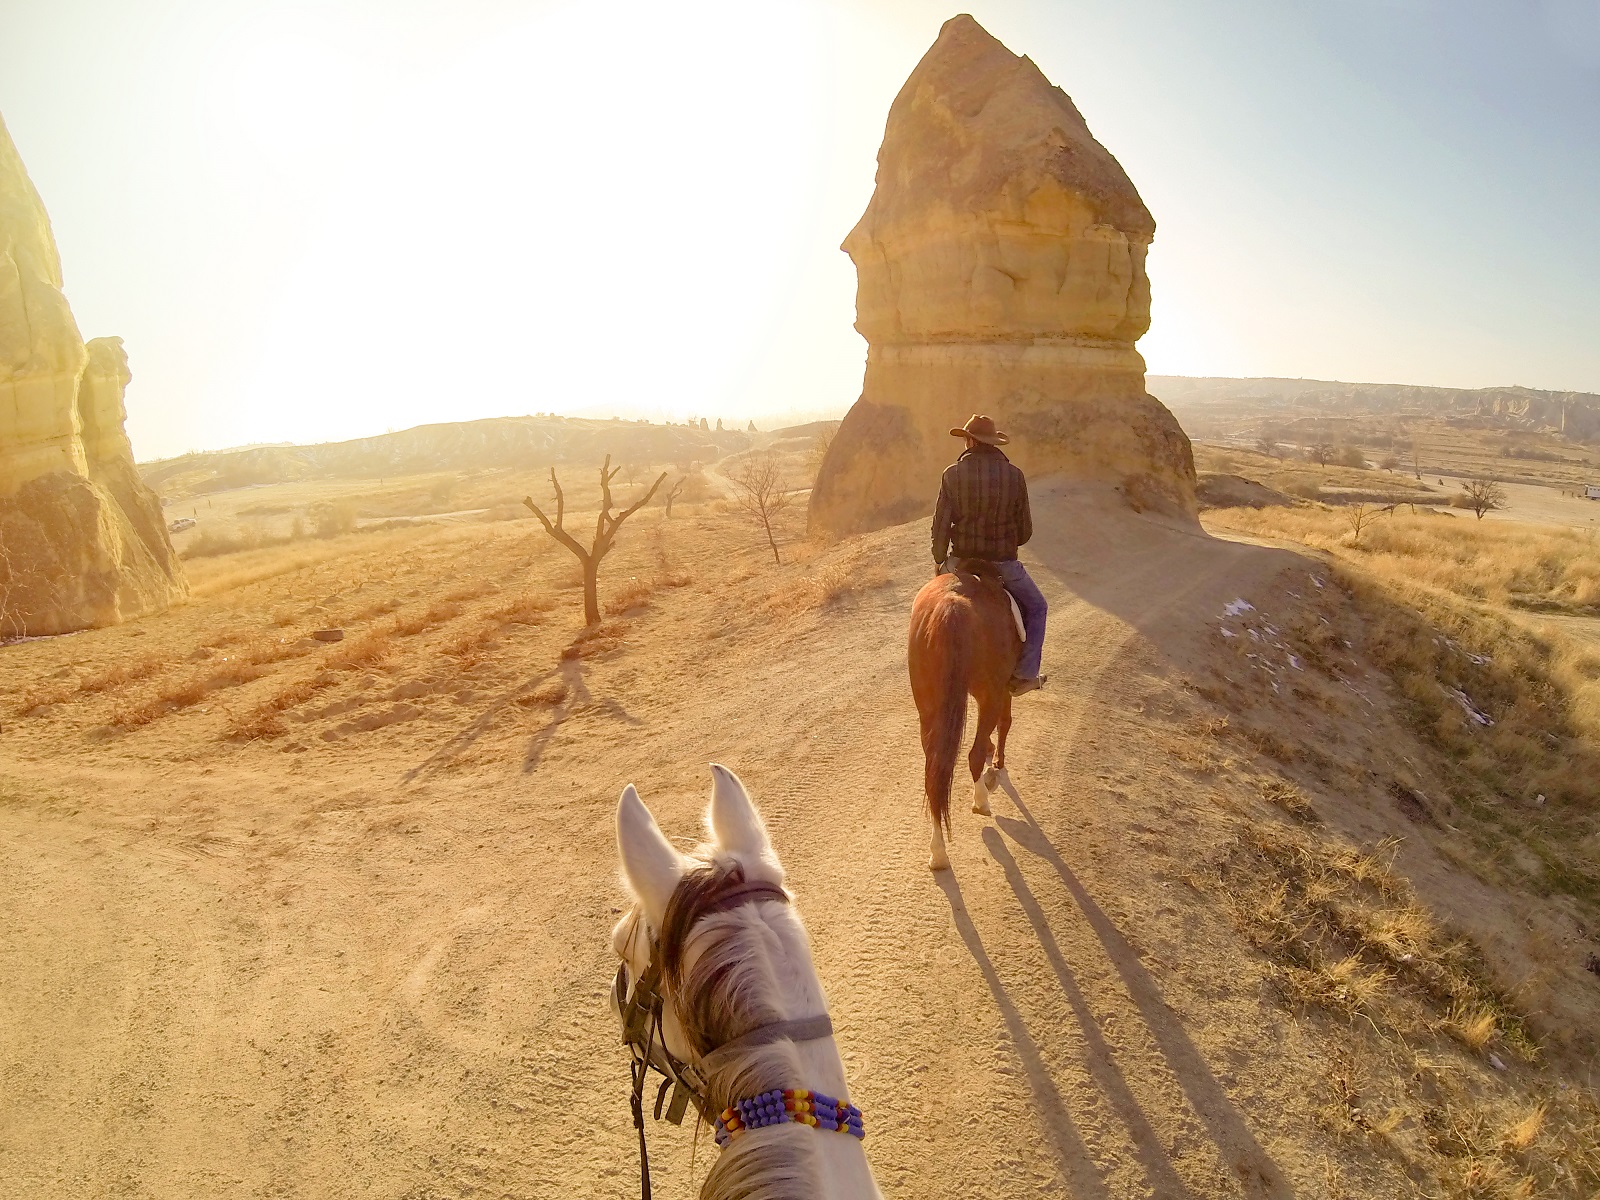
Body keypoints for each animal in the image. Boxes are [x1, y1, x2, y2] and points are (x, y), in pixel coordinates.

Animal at [907, 562, 1021, 871]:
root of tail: (952, 604)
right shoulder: (1003, 687)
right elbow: (1005, 723)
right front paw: (997, 762)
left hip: (928, 706)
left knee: (933, 772)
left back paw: (937, 852)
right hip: (988, 692)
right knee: (975, 751)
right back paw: (981, 800)